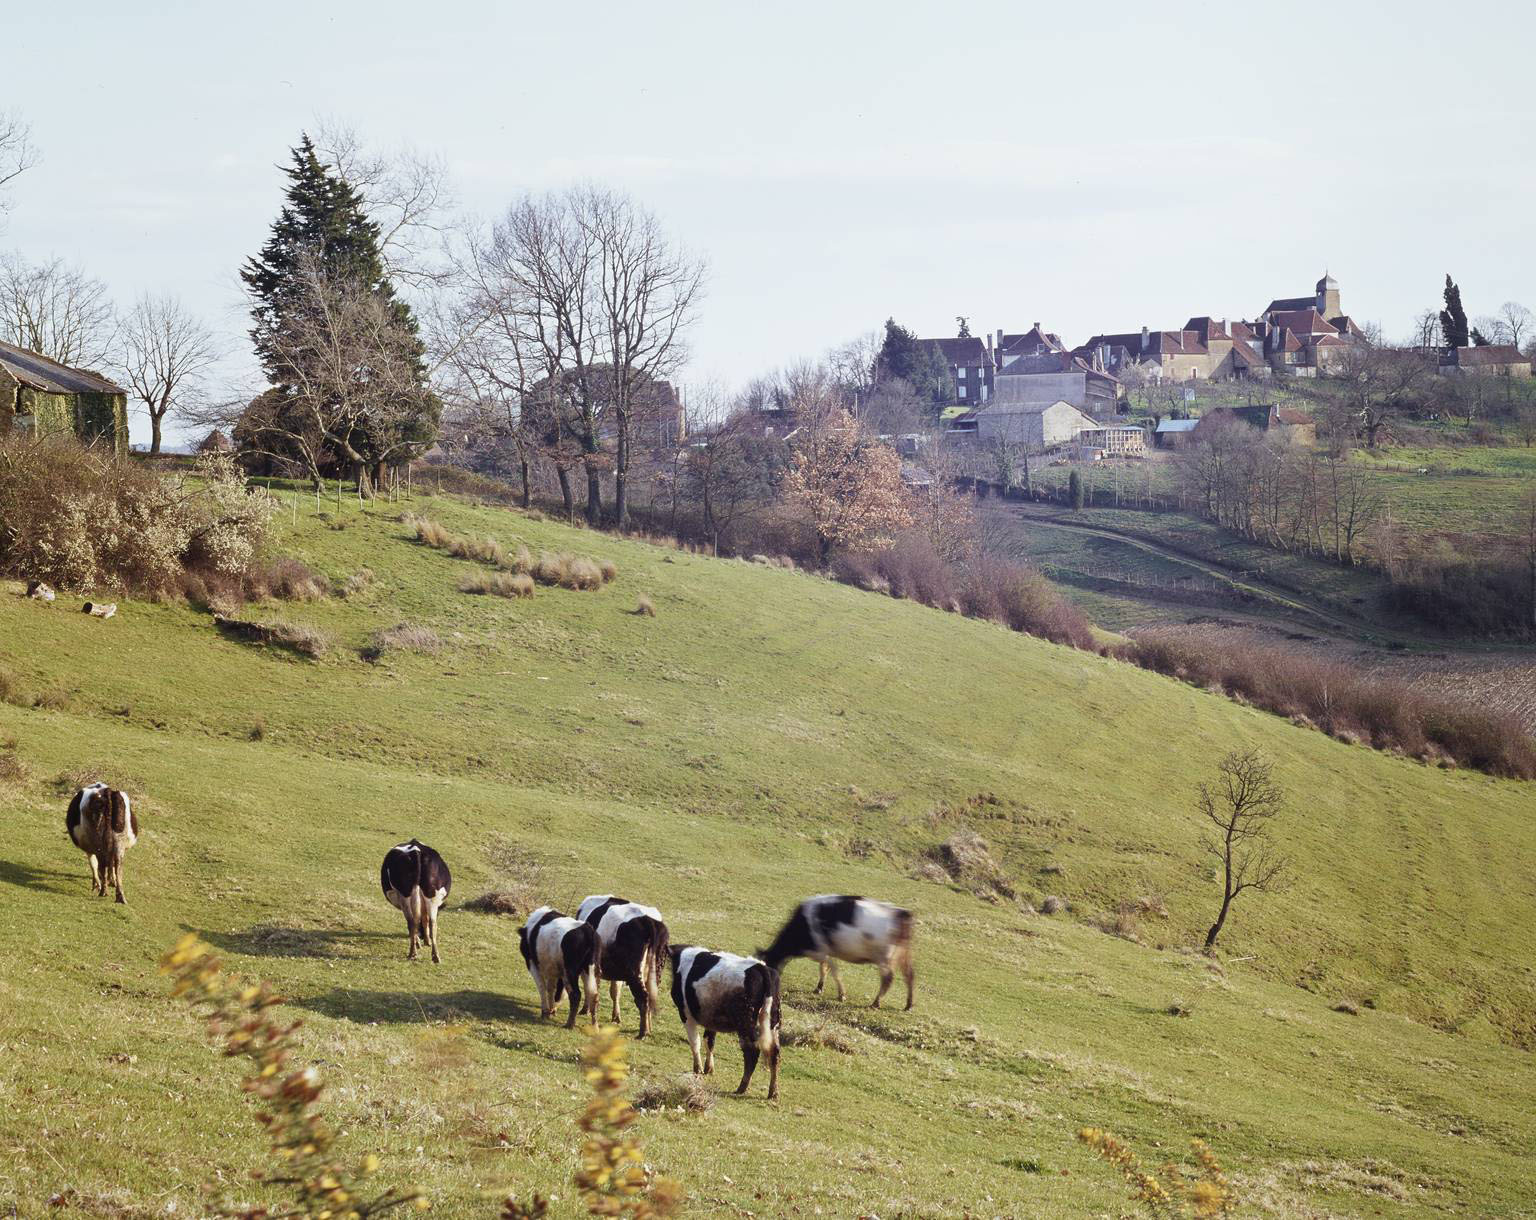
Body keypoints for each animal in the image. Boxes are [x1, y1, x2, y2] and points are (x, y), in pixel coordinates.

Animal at [577, 891, 669, 1032]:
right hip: (653, 972)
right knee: (650, 996)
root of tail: (649, 921)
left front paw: (585, 1010)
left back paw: (644, 1031)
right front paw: (616, 1017)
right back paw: (649, 1027)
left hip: (634, 973)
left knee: (643, 997)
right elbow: (615, 991)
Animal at [666, 940, 780, 1094]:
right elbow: (709, 1041)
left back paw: (742, 1087)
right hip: (772, 1023)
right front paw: (708, 1069)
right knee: (775, 1053)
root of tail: (761, 967)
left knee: (752, 1052)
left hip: (745, 1024)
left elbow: (695, 1042)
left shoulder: (686, 1014)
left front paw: (698, 1070)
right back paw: (773, 1092)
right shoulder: (710, 1018)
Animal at [758, 891, 909, 1007]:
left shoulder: (820, 951)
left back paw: (876, 1003)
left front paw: (841, 995)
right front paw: (819, 988)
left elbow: (833, 970)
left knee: (888, 979)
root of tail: (899, 912)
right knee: (909, 975)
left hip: (884, 958)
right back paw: (907, 1005)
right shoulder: (823, 951)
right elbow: (824, 968)